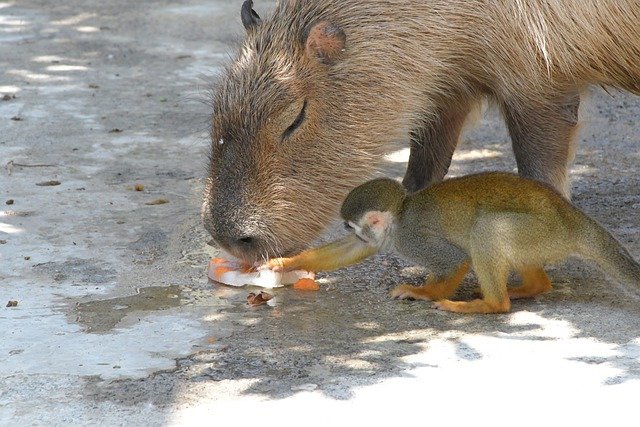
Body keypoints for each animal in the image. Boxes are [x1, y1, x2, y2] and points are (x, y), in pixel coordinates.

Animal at [264, 172, 640, 316]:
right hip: (543, 237)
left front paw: (422, 293)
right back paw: (531, 287)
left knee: (487, 228)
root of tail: (571, 218)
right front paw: (285, 263)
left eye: (354, 227)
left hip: (542, 230)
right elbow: (354, 252)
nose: (357, 233)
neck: (401, 213)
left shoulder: (411, 237)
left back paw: (490, 304)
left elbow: (455, 259)